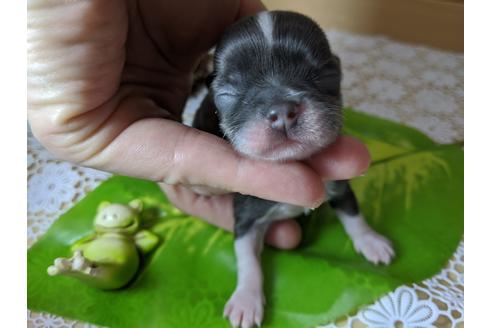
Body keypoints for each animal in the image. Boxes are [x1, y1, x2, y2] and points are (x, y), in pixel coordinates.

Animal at [193, 10, 396, 328]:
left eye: (324, 75)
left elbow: (353, 213)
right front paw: (246, 299)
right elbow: (247, 258)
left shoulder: (339, 185)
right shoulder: (246, 216)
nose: (282, 111)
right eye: (228, 93)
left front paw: (370, 240)